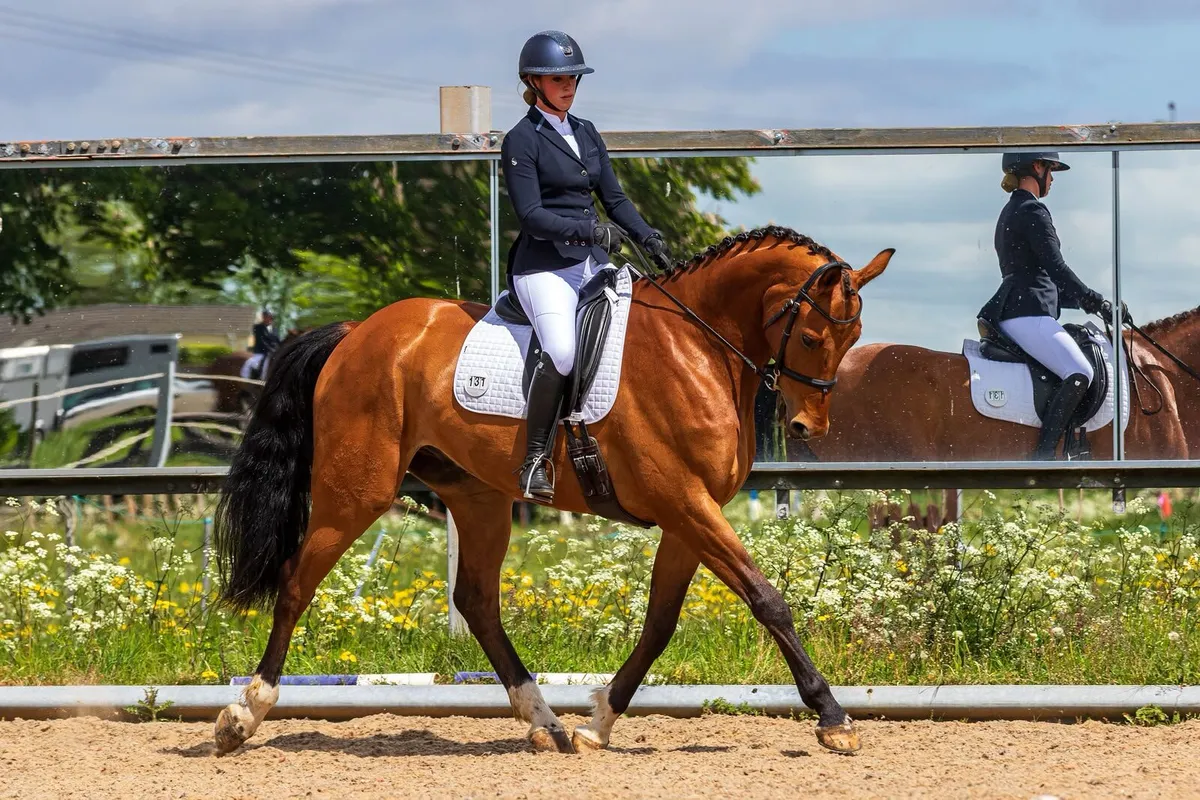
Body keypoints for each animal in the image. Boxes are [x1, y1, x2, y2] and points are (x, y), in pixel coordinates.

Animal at [209, 226, 894, 757]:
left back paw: (545, 724)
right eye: (812, 337)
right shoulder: (684, 502)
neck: (696, 347)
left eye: (853, 339)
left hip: (478, 498)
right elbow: (768, 601)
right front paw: (833, 719)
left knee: (478, 602)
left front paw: (599, 722)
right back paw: (243, 715)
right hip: (355, 491)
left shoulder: (688, 514)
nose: (807, 429)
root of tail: (357, 331)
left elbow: (660, 622)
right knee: (296, 582)